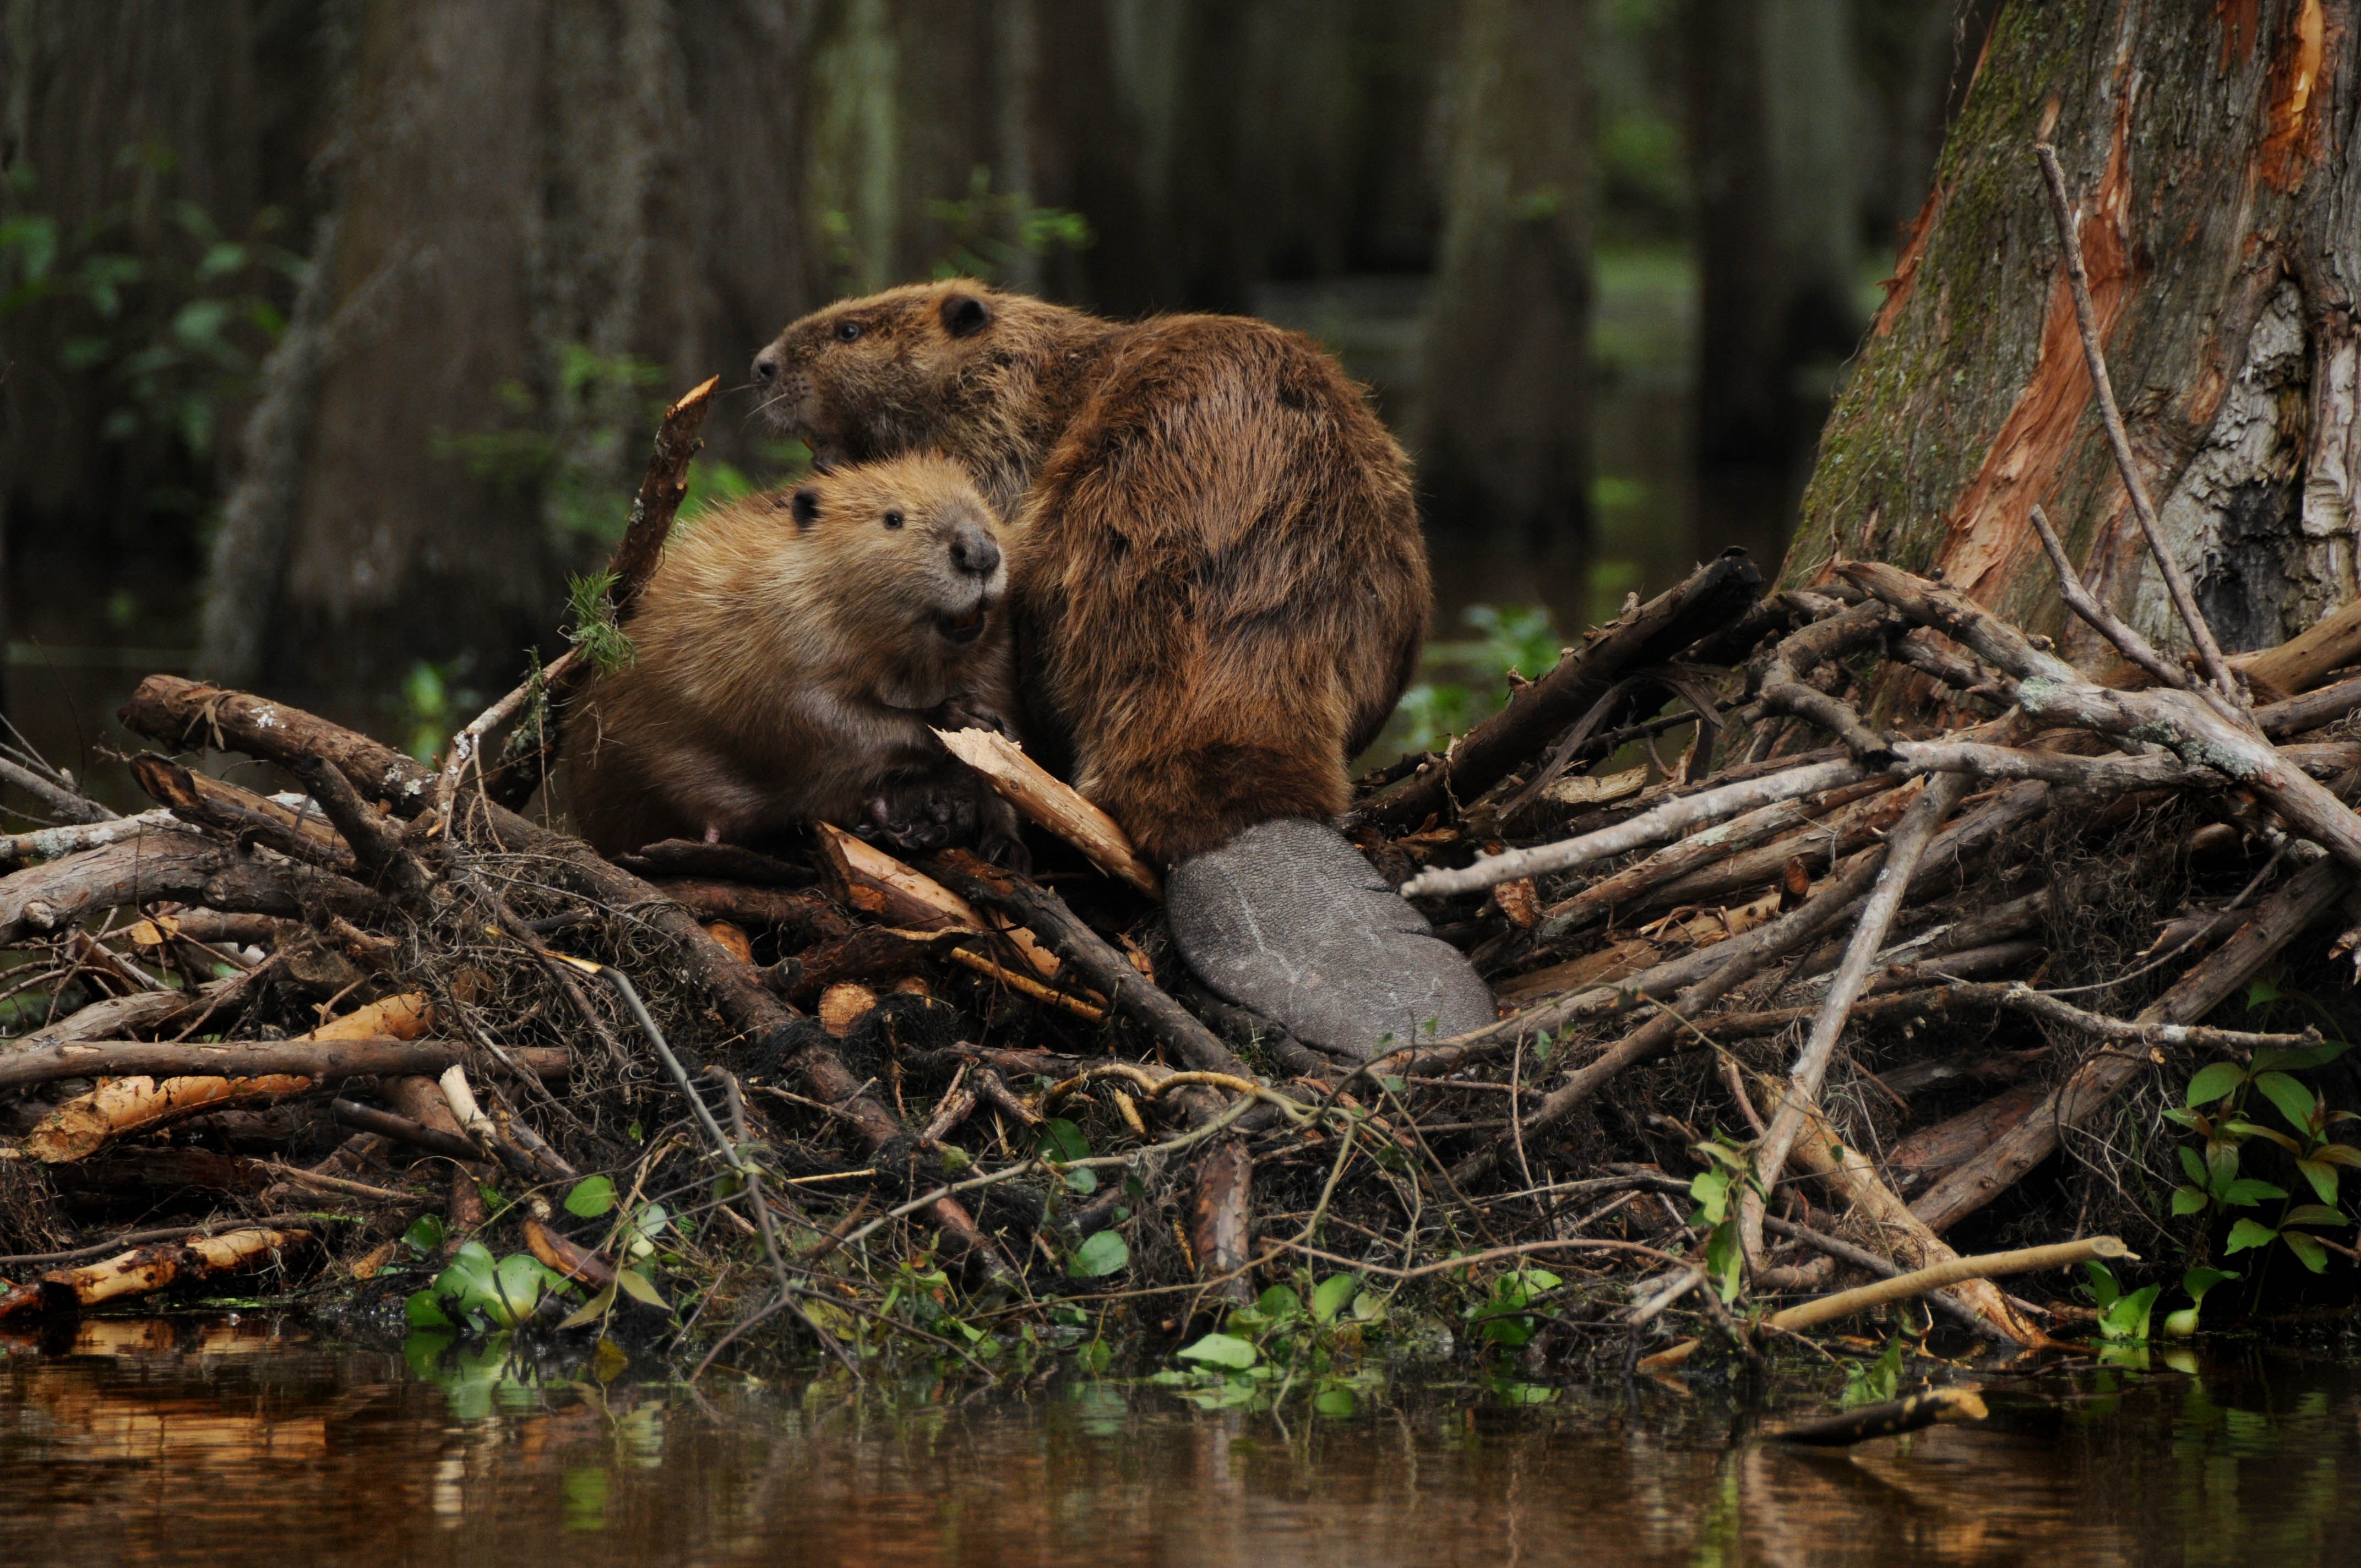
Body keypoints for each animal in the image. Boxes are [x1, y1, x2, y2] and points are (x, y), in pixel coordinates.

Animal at [567, 453, 1029, 864]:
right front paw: (958, 717)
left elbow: (1007, 758)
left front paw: (1005, 845)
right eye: (893, 519)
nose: (979, 552)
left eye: (982, 506)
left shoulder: (997, 658)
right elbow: (815, 716)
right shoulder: (780, 632)